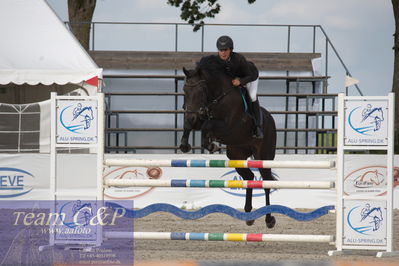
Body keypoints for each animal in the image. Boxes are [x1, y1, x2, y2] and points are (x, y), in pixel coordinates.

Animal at [181, 55, 278, 228]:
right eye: (185, 91)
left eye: (201, 91)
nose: (191, 116)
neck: (218, 97)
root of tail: (270, 119)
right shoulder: (198, 117)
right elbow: (190, 125)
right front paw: (185, 145)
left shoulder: (228, 126)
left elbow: (207, 125)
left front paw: (211, 144)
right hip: (236, 155)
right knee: (249, 178)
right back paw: (249, 215)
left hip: (264, 156)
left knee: (266, 182)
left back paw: (269, 219)